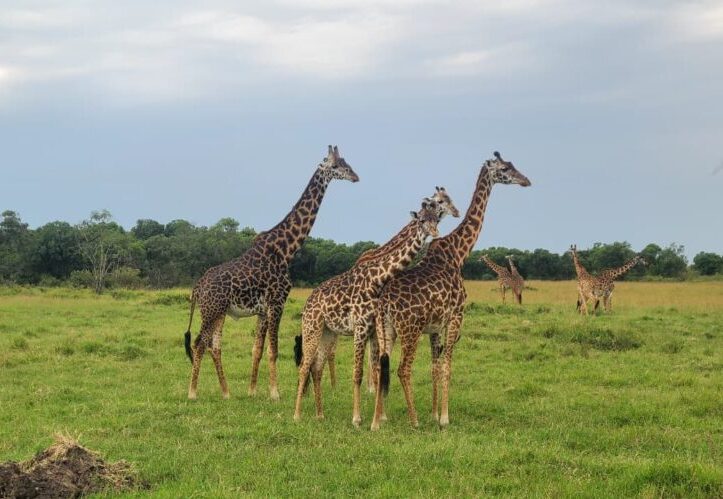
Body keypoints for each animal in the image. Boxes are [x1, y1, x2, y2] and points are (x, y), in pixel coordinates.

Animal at [184, 145, 358, 401]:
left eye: (347, 162)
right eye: (335, 166)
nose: (355, 177)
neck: (286, 249)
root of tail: (197, 287)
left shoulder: (263, 310)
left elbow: (257, 349)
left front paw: (252, 390)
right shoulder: (277, 302)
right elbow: (273, 350)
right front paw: (274, 393)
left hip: (219, 312)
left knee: (213, 345)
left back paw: (226, 392)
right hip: (211, 310)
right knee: (199, 343)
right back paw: (193, 392)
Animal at [293, 198, 443, 427]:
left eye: (437, 219)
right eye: (422, 220)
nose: (435, 233)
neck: (377, 280)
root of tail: (308, 301)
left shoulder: (374, 330)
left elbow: (378, 369)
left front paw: (381, 417)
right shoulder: (361, 327)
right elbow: (358, 372)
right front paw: (357, 418)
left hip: (329, 332)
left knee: (317, 368)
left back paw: (320, 414)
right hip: (312, 327)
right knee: (304, 366)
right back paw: (297, 415)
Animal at [371, 151, 531, 430]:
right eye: (504, 169)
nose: (526, 180)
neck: (458, 253)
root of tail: (384, 303)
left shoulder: (435, 326)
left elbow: (435, 367)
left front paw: (434, 414)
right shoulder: (456, 316)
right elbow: (447, 366)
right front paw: (444, 418)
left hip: (386, 330)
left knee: (383, 366)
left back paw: (378, 420)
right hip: (410, 330)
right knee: (402, 368)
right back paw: (413, 420)